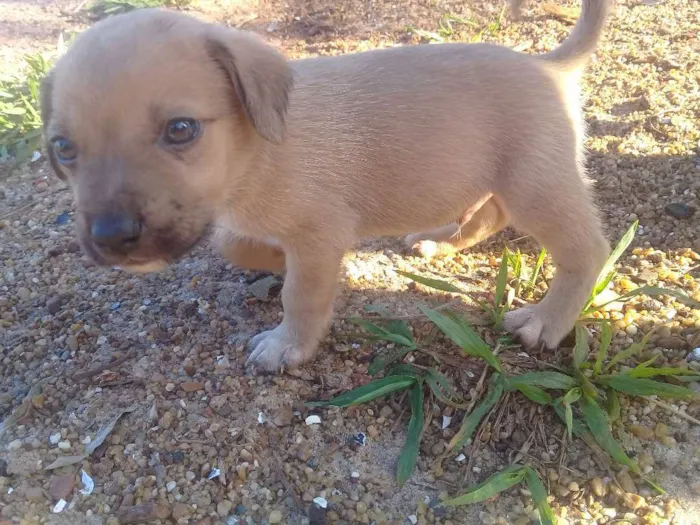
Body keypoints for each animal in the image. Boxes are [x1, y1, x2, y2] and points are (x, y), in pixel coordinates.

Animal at [42, 0, 612, 370]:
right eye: (63, 149)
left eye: (181, 129)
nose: (113, 239)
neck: (263, 148)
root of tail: (547, 66)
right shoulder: (254, 224)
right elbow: (233, 244)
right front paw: (275, 260)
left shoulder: (318, 233)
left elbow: (302, 295)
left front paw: (287, 346)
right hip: (498, 177)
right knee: (489, 215)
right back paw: (440, 242)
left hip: (534, 184)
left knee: (587, 250)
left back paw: (546, 320)